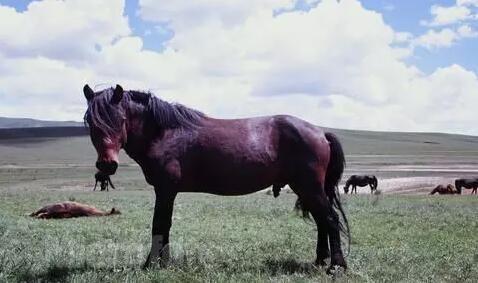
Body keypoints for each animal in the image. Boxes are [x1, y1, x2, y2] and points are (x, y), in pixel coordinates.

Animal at [82, 85, 352, 276]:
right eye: (91, 124)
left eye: (120, 120)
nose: (107, 165)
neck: (166, 133)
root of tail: (320, 132)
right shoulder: (166, 191)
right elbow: (163, 226)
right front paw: (162, 262)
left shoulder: (166, 190)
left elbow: (160, 225)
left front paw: (152, 264)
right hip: (307, 189)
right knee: (322, 221)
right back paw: (320, 260)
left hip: (309, 187)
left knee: (330, 219)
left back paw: (336, 266)